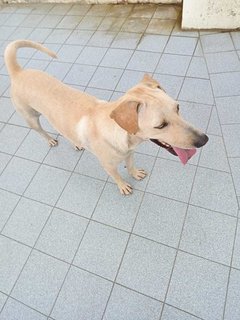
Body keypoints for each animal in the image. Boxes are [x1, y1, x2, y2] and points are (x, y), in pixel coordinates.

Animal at [3, 40, 208, 195]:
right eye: (160, 125)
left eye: (178, 108)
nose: (204, 140)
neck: (122, 134)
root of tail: (18, 72)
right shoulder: (108, 166)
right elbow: (117, 176)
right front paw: (123, 186)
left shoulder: (130, 153)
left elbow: (130, 166)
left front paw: (134, 173)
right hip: (31, 118)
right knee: (41, 131)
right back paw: (50, 140)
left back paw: (76, 143)